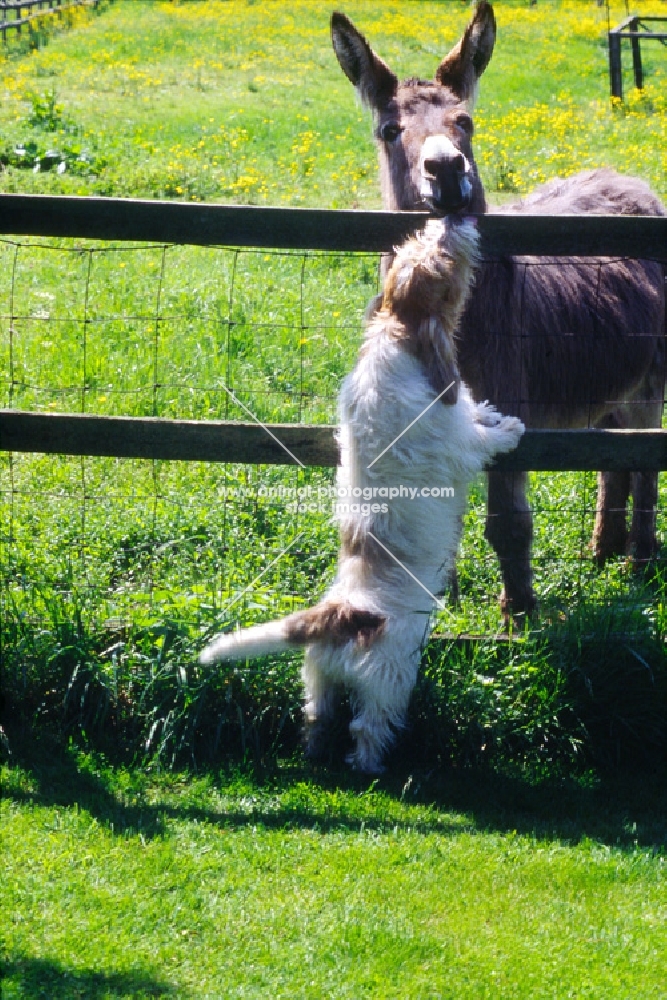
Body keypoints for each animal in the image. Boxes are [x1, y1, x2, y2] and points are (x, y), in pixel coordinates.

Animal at [201, 217, 524, 772]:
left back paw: (315, 754)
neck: (396, 332)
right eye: (442, 256)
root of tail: (339, 617)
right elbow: (478, 440)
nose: (451, 218)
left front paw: (490, 413)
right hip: (388, 680)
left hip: (318, 678)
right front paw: (508, 428)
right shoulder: (455, 444)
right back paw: (371, 766)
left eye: (419, 242)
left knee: (317, 716)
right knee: (366, 726)